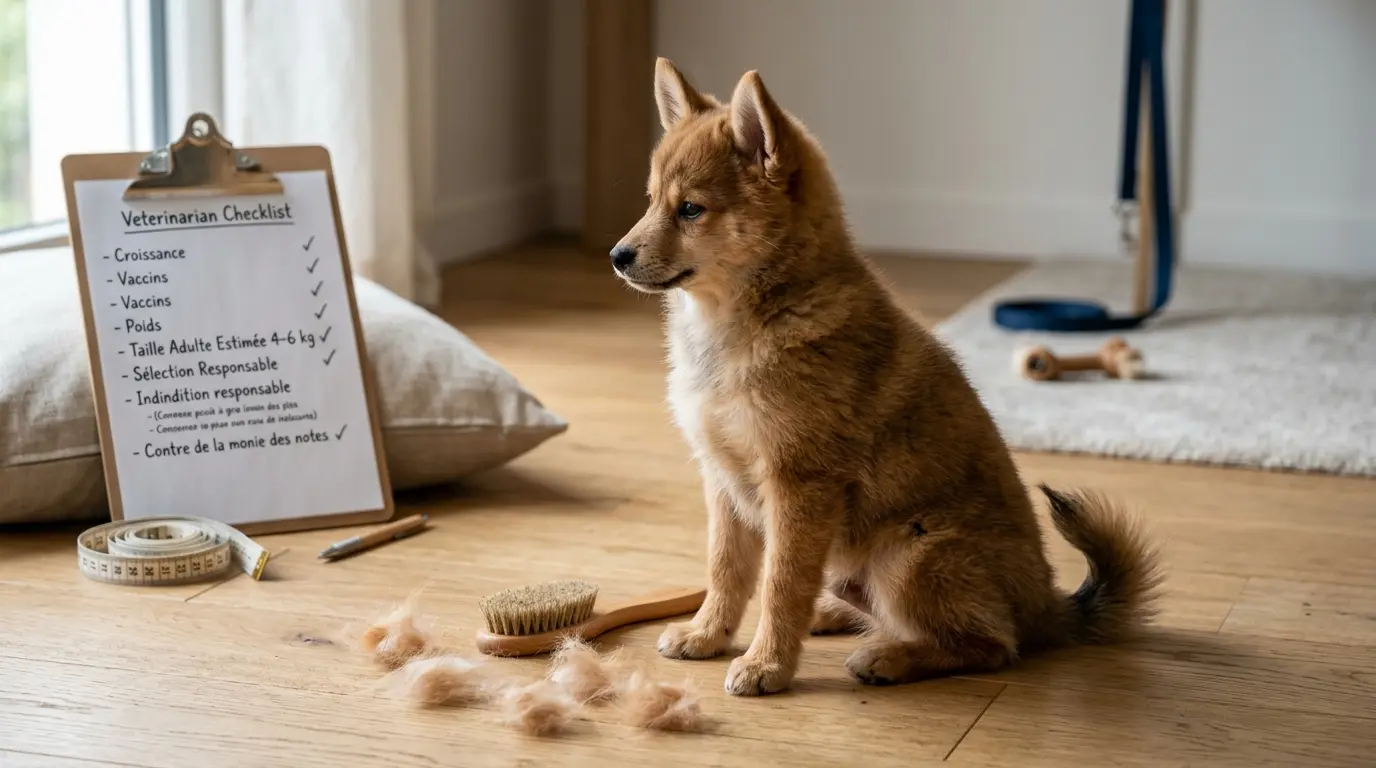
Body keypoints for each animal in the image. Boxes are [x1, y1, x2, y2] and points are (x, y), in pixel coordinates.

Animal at [609, 58, 1164, 696]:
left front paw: (767, 663)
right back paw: (836, 615)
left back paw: (889, 657)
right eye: (651, 201)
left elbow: (780, 584)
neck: (747, 320)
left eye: (692, 209)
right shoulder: (723, 480)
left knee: (992, 645)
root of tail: (1046, 605)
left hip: (910, 554)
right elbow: (726, 570)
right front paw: (707, 634)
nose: (617, 256)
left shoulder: (799, 487)